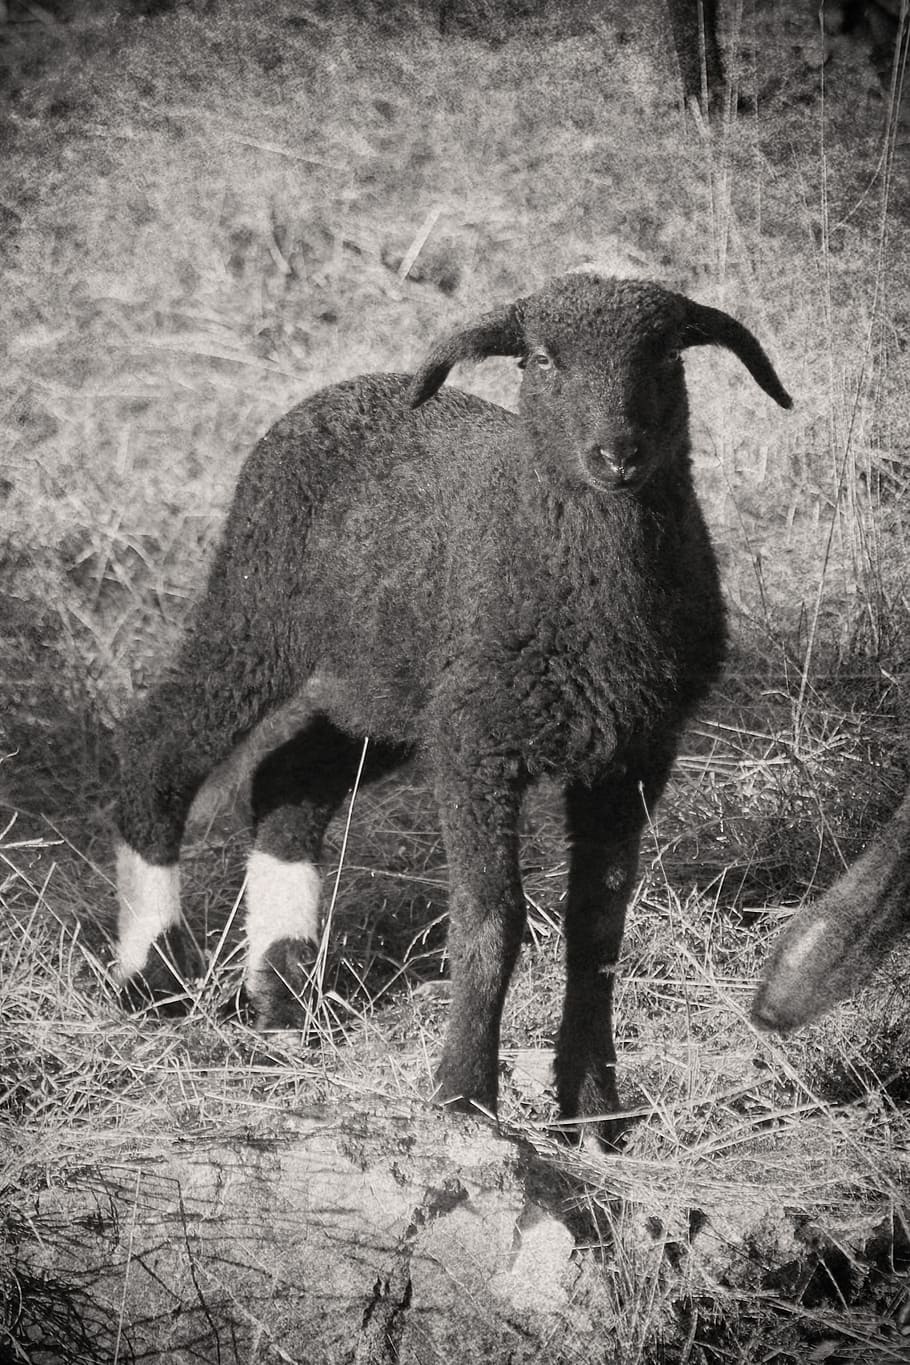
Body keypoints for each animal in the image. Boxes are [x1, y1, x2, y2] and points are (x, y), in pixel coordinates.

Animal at [113, 272, 791, 1144]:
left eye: (668, 354)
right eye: (541, 359)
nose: (617, 456)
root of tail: (340, 389)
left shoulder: (633, 752)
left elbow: (597, 929)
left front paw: (595, 1111)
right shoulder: (478, 742)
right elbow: (490, 919)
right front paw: (464, 1098)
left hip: (384, 685)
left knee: (286, 781)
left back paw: (284, 992)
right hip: (257, 609)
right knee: (158, 749)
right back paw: (154, 972)